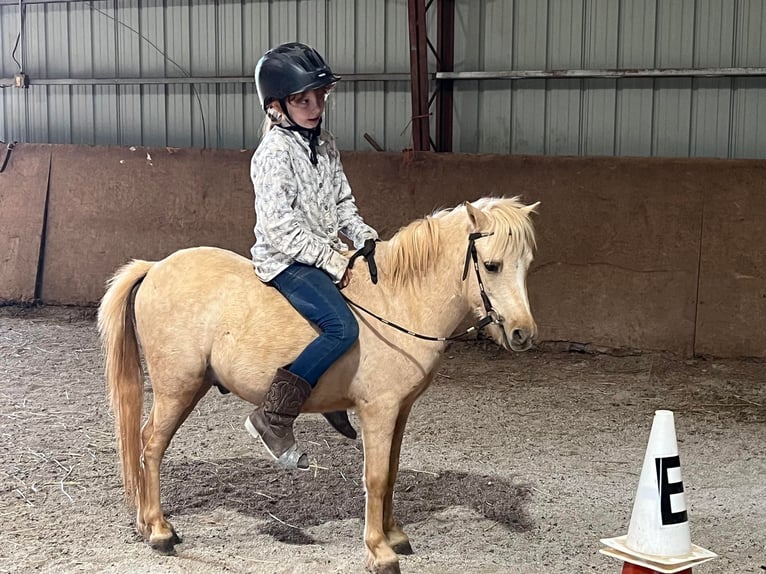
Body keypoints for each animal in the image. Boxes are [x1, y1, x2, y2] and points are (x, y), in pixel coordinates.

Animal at [97, 197, 540, 574]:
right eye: (492, 265)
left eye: (526, 264)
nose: (523, 334)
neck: (398, 301)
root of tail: (155, 267)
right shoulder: (378, 410)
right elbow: (375, 477)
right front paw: (379, 551)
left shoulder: (400, 410)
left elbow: (392, 470)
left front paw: (394, 534)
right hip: (178, 387)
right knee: (151, 445)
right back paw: (159, 531)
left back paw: (146, 524)